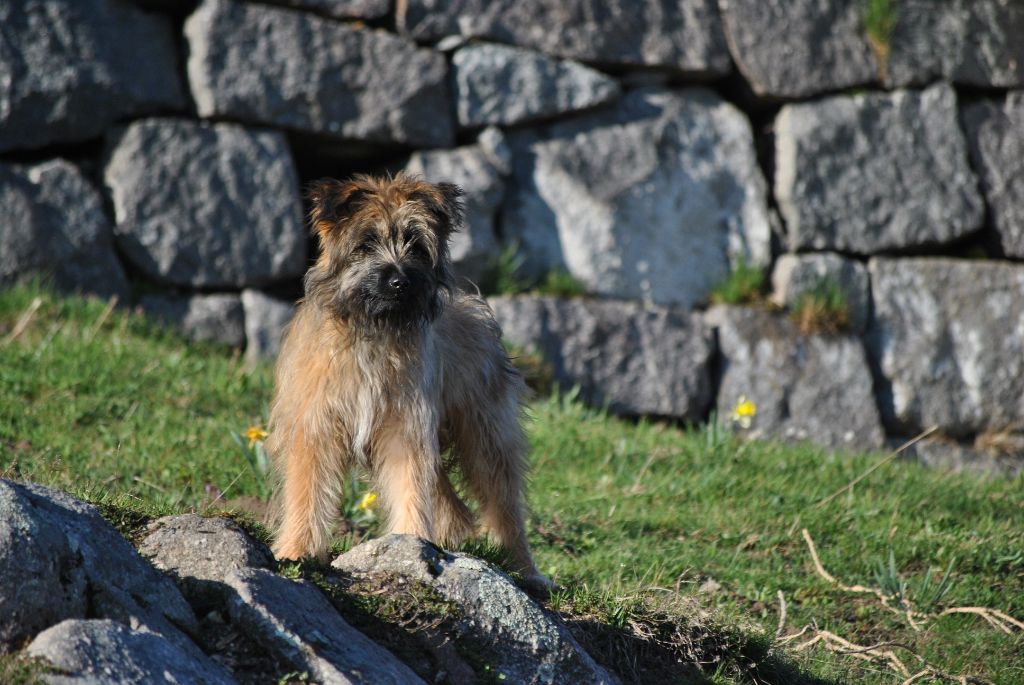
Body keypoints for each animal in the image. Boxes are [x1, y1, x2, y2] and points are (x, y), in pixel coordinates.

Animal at [266, 172, 552, 589]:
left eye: (416, 245)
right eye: (366, 243)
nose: (400, 281)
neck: (374, 332)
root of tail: (472, 305)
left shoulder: (406, 424)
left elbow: (411, 486)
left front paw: (411, 544)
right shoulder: (317, 425)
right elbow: (308, 489)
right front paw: (297, 550)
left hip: (485, 434)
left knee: (504, 505)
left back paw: (525, 570)